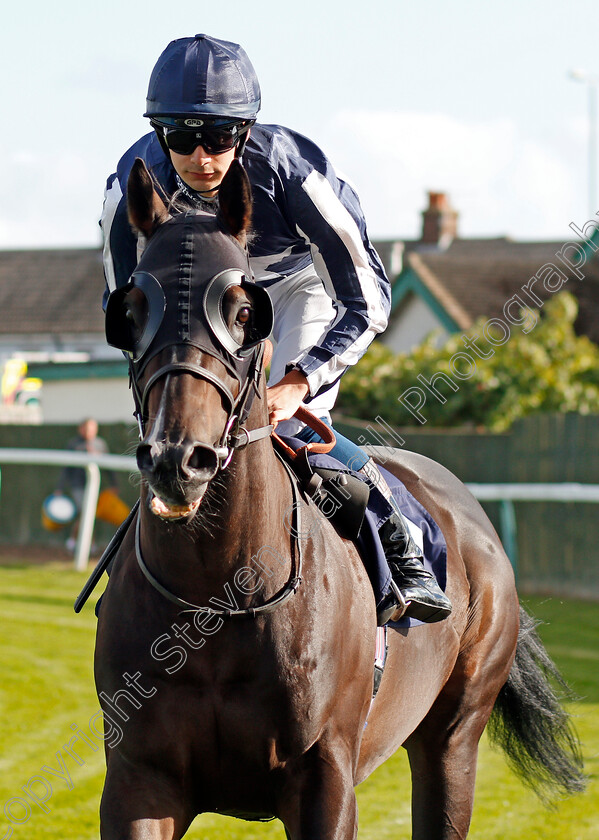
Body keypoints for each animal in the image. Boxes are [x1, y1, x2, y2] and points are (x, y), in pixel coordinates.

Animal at [95, 159, 584, 840]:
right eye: (132, 309)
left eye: (243, 311)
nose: (177, 459)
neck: (218, 596)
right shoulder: (140, 779)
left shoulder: (324, 779)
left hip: (454, 737)